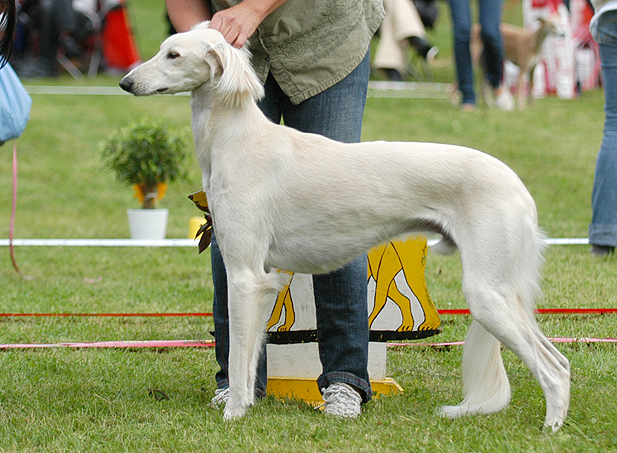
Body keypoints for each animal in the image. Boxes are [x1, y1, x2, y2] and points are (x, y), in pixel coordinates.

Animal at [118, 23, 572, 430]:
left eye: (174, 55)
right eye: (162, 49)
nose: (125, 83)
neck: (237, 140)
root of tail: (518, 186)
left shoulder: (244, 276)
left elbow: (237, 354)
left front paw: (232, 416)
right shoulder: (265, 280)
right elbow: (248, 360)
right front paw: (242, 406)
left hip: (485, 292)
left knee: (553, 369)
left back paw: (551, 428)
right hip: (502, 291)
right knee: (562, 360)